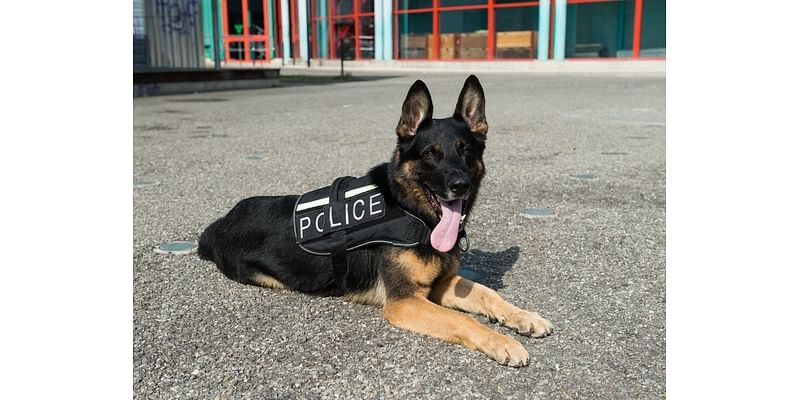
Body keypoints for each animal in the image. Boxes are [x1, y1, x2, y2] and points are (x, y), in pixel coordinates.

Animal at [197, 75, 552, 366]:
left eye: (467, 151)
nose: (460, 185)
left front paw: (524, 317)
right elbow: (462, 319)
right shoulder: (404, 301)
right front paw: (502, 342)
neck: (411, 210)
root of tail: (221, 222)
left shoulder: (439, 285)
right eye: (429, 154)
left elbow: (487, 293)